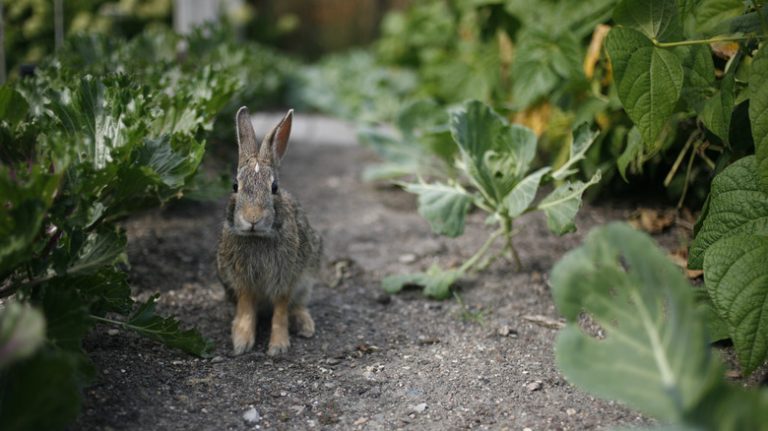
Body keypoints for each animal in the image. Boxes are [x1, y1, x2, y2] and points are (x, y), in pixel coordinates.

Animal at [218, 108, 322, 358]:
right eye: (235, 186)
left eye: (274, 188)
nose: (252, 218)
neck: (257, 237)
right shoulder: (242, 280)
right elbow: (247, 307)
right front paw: (241, 342)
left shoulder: (286, 277)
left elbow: (281, 309)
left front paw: (278, 346)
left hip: (307, 279)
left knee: (298, 305)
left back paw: (305, 325)